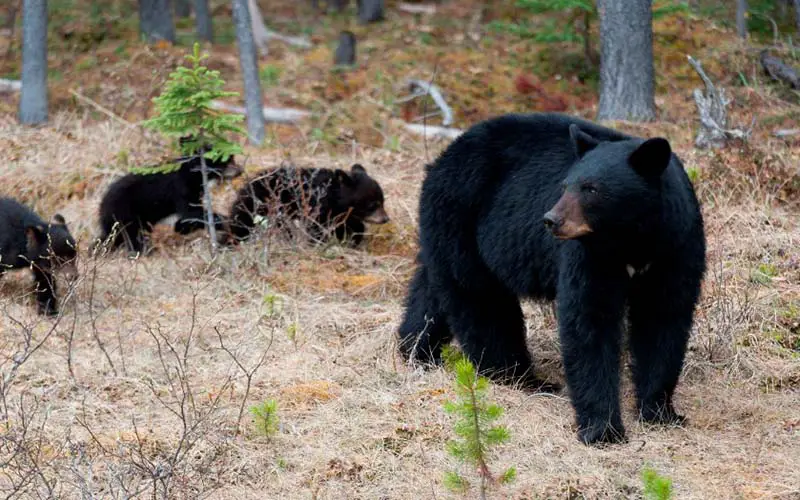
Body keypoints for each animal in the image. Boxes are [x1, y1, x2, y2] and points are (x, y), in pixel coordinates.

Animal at [95, 139, 242, 254]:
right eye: (226, 161)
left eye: (233, 158)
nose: (240, 170)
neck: (193, 175)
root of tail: (102, 204)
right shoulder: (181, 189)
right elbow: (190, 211)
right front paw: (222, 220)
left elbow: (188, 217)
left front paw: (182, 227)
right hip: (125, 213)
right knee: (131, 235)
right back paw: (142, 252)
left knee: (112, 237)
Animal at [227, 165, 390, 247]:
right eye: (372, 205)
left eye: (382, 201)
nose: (386, 219)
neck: (333, 195)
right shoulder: (317, 207)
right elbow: (317, 227)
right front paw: (321, 242)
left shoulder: (340, 212)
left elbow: (350, 224)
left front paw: (353, 239)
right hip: (261, 206)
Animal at [400, 113, 708, 446]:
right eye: (565, 185)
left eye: (591, 188)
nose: (551, 220)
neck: (633, 241)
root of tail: (446, 154)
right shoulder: (591, 256)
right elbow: (589, 320)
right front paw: (603, 429)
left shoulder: (676, 247)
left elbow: (663, 318)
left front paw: (660, 411)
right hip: (462, 217)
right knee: (480, 300)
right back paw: (518, 376)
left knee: (432, 289)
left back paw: (416, 348)